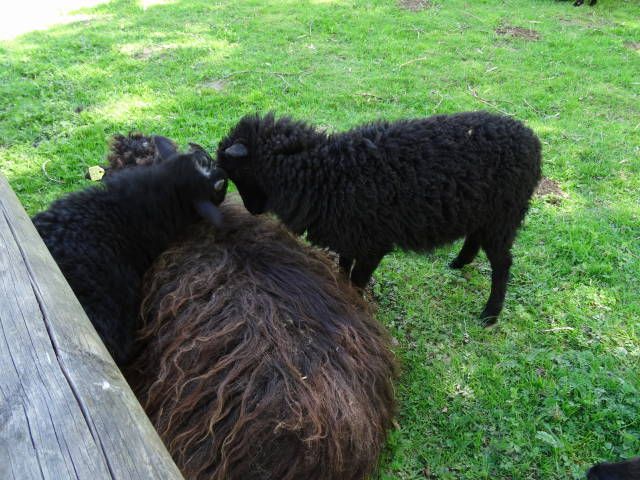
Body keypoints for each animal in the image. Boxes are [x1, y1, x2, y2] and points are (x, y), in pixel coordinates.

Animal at [218, 110, 544, 324]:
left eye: (235, 173)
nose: (252, 211)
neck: (325, 171)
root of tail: (532, 140)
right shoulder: (349, 235)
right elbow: (343, 267)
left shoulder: (373, 243)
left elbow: (357, 280)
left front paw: (355, 305)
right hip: (485, 213)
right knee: (475, 237)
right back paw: (458, 263)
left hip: (504, 215)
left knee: (502, 263)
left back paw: (490, 314)